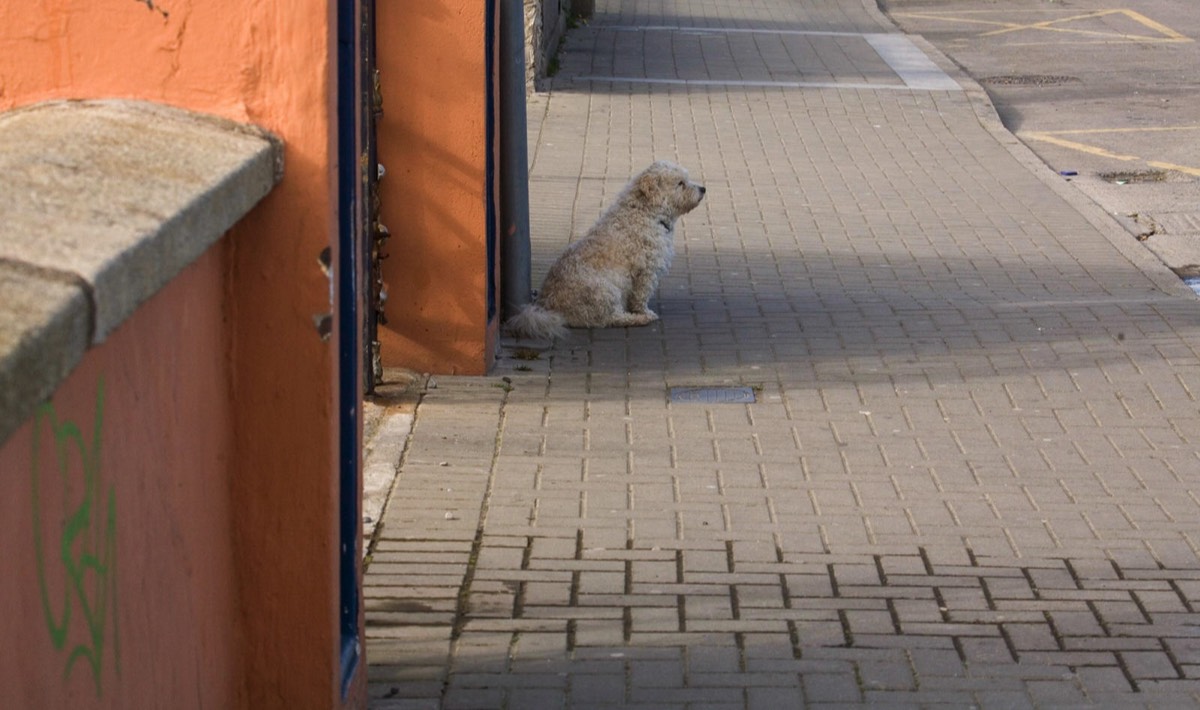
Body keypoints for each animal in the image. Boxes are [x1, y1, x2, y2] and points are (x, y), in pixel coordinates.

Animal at [504, 158, 700, 340]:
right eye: (680, 183)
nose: (703, 189)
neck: (647, 213)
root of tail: (551, 307)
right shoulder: (646, 272)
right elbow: (640, 297)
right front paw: (643, 312)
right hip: (605, 290)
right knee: (610, 319)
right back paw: (638, 319)